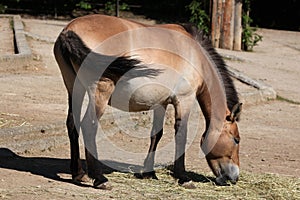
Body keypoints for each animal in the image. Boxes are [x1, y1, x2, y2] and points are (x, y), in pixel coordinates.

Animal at [53, 14, 241, 189]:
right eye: (236, 139)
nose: (234, 177)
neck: (196, 57)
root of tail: (68, 31)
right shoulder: (184, 99)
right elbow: (181, 134)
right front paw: (183, 177)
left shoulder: (161, 103)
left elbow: (156, 134)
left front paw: (148, 172)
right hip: (100, 92)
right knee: (88, 126)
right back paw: (100, 179)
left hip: (74, 89)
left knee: (72, 125)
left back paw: (79, 174)